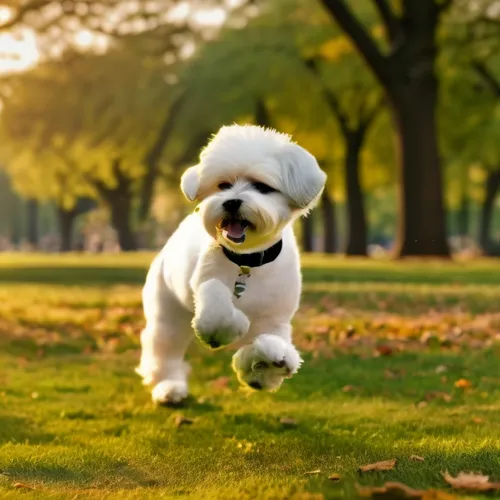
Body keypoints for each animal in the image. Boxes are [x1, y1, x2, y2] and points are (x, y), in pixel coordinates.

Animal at [135, 125, 326, 406]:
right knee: (164, 349)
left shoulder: (275, 318)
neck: (247, 261)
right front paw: (228, 330)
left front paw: (264, 366)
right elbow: (217, 303)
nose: (232, 201)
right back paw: (169, 388)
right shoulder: (207, 282)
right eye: (223, 185)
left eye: (262, 187)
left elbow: (269, 343)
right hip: (167, 311)